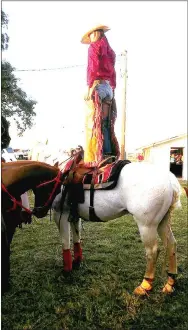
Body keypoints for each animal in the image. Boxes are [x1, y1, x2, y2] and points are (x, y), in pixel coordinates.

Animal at [52, 162, 181, 296]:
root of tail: (169, 179)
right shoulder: (74, 215)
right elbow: (76, 238)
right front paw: (77, 262)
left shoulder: (60, 214)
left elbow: (65, 243)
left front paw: (67, 270)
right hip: (163, 222)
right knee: (171, 245)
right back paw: (170, 282)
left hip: (147, 226)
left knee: (153, 251)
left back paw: (145, 285)